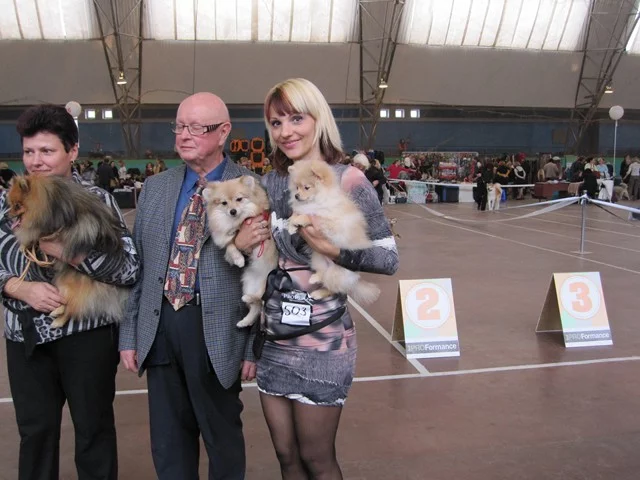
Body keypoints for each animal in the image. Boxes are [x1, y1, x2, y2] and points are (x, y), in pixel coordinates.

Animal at [7, 175, 130, 328]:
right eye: (10, 204)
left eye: (17, 206)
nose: (6, 215)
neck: (51, 200)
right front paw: (26, 245)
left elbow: (38, 234)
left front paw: (27, 243)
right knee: (66, 302)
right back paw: (57, 311)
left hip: (72, 284)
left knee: (72, 307)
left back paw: (58, 321)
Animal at [202, 175, 278, 328]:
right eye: (224, 203)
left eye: (239, 199)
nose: (232, 211)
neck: (237, 222)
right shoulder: (229, 239)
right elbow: (231, 245)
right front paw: (239, 259)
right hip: (248, 283)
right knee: (257, 306)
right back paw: (244, 321)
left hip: (265, 284)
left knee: (260, 299)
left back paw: (248, 299)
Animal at [287, 159, 380, 304]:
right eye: (296, 187)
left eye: (306, 187)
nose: (296, 196)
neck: (318, 199)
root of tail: (354, 281)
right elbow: (296, 214)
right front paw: (291, 225)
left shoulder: (330, 221)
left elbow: (310, 216)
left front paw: (299, 221)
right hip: (319, 258)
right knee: (323, 275)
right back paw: (315, 279)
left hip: (338, 272)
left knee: (332, 287)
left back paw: (318, 292)